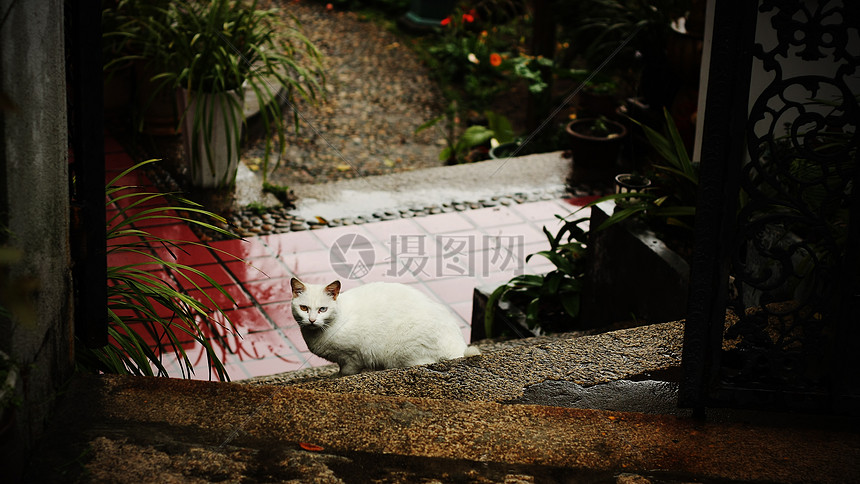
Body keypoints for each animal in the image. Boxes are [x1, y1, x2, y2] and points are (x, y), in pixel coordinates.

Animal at [290, 278, 480, 376]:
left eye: (323, 309)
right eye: (304, 308)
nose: (312, 320)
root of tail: (457, 345)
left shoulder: (352, 356)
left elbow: (347, 371)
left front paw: (337, 376)